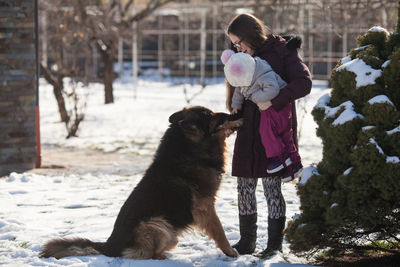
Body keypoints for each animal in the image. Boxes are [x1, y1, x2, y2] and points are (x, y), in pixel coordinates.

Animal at [40, 106, 242, 260]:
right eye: (208, 115)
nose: (233, 113)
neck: (188, 148)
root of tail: (108, 245)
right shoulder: (205, 207)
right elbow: (219, 230)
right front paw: (230, 251)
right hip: (156, 224)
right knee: (146, 254)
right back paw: (161, 258)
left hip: (168, 233)